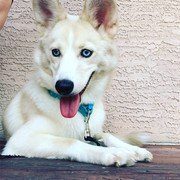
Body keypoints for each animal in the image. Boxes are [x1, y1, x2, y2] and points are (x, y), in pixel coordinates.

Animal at [2, 0, 153, 166]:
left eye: (86, 53)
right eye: (55, 52)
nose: (63, 86)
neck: (81, 113)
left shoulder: (93, 131)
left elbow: (106, 135)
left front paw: (133, 149)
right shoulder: (22, 139)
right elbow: (70, 141)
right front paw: (112, 152)